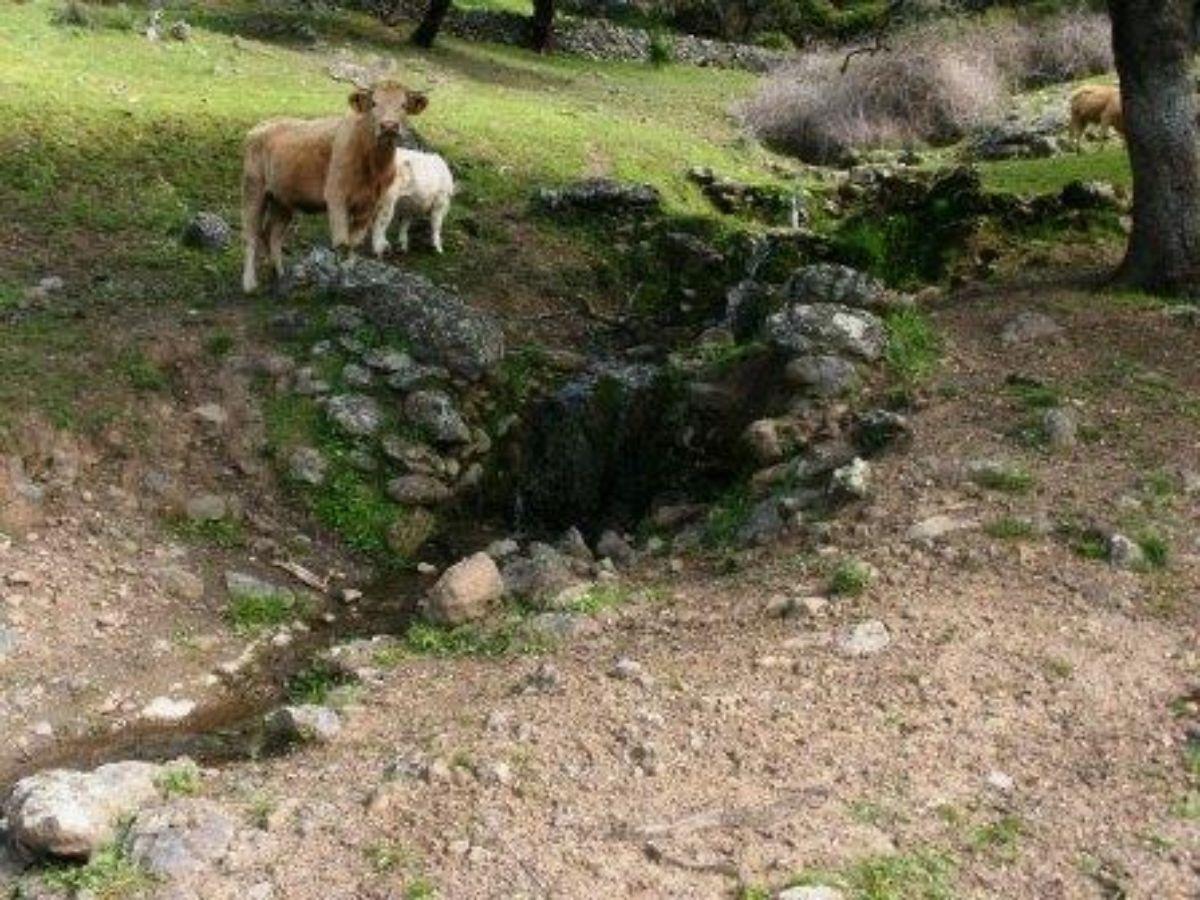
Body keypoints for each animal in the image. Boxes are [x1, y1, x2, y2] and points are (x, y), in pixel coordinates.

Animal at [238, 78, 427, 294]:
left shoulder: (369, 205)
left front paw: (350, 274)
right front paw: (339, 282)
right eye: (373, 103)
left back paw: (279, 273)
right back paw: (249, 283)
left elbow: (354, 243)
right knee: (251, 234)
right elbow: (341, 243)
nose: (389, 126)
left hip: (282, 200)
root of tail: (262, 126)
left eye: (403, 105)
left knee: (273, 234)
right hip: (253, 189)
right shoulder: (336, 197)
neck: (373, 166)